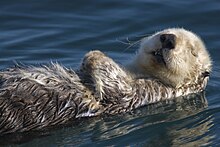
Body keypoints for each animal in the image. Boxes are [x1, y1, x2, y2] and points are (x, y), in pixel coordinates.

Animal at [0, 27, 211, 134]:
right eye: (165, 31)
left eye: (192, 52)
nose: (168, 39)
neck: (138, 71)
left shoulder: (151, 92)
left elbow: (118, 88)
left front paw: (94, 55)